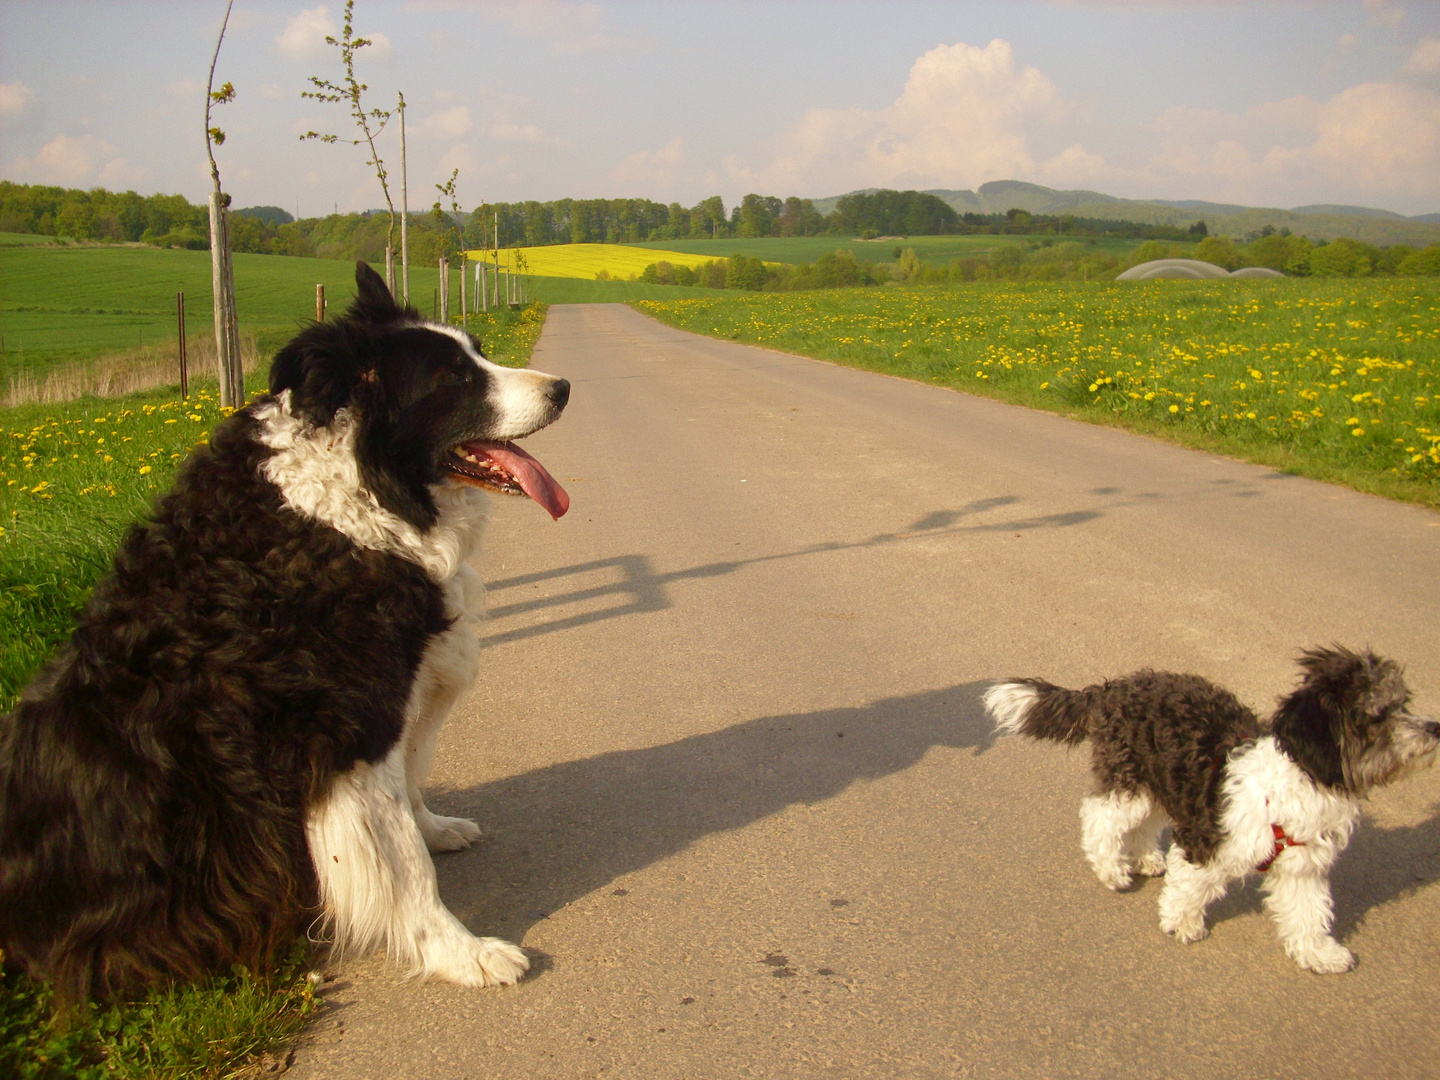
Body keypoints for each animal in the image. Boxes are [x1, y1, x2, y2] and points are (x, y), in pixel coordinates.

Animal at [984, 648, 1440, 979]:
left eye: (1404, 703)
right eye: (1378, 715)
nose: (1434, 728)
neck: (1295, 779)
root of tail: (1116, 688)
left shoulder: (1301, 866)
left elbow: (1308, 913)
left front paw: (1318, 954)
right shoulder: (1206, 838)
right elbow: (1190, 885)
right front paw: (1182, 923)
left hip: (1164, 781)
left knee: (1145, 825)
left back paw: (1147, 859)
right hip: (1130, 781)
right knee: (1099, 819)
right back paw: (1112, 869)